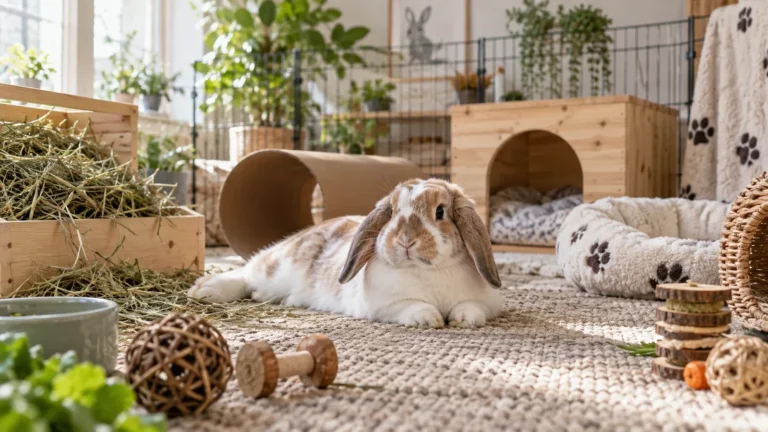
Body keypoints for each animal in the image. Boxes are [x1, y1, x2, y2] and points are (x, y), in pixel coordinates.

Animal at [187, 178, 503, 328]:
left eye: (440, 211)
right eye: (392, 211)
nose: (405, 241)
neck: (428, 271)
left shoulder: (485, 304)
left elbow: (471, 308)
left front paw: (462, 319)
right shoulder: (385, 305)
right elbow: (413, 306)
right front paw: (429, 318)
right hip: (275, 267)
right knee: (246, 272)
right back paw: (204, 291)